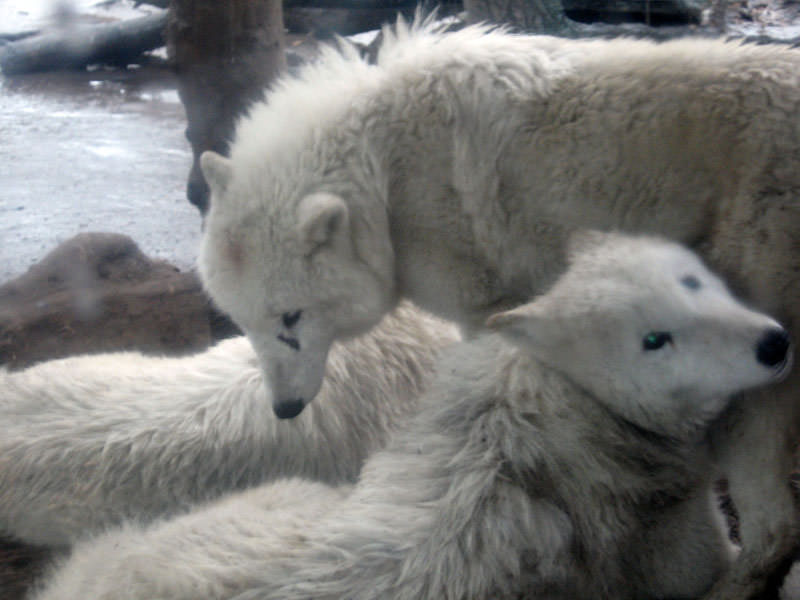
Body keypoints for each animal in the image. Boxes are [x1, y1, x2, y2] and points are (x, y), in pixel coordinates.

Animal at [197, 19, 800, 596]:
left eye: (291, 319)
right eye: (244, 323)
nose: (284, 409)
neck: (385, 175)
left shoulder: (481, 311)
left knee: (777, 526)